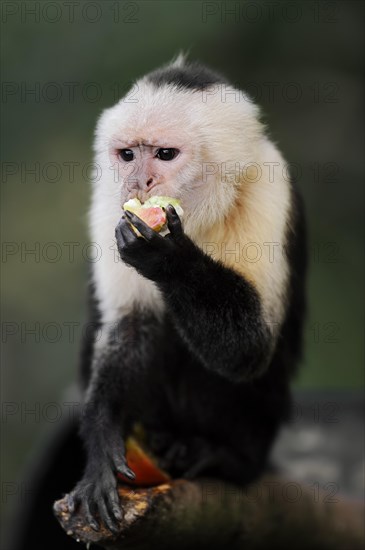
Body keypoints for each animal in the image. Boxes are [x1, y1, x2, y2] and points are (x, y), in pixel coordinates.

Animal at [8, 58, 306, 548]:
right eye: (128, 155)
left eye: (165, 155)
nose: (138, 182)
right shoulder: (108, 204)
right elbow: (131, 327)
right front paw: (102, 447)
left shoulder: (269, 186)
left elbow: (249, 350)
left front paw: (168, 259)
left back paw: (224, 457)